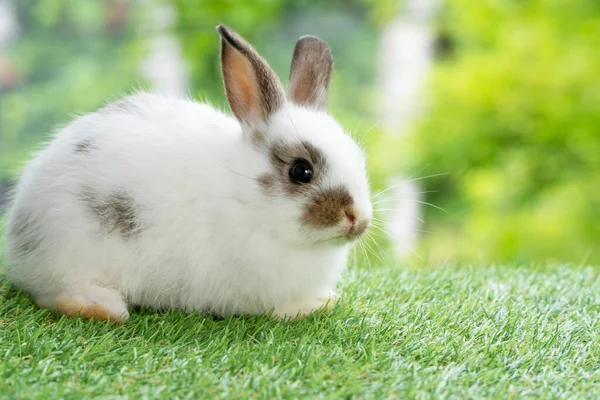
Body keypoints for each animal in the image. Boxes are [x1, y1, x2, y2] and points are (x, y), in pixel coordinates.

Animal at [3, 24, 370, 322]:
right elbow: (275, 310)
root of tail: (19, 243)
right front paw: (309, 306)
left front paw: (325, 298)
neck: (244, 197)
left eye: (358, 157)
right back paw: (102, 307)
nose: (358, 219)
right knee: (53, 295)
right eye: (301, 171)